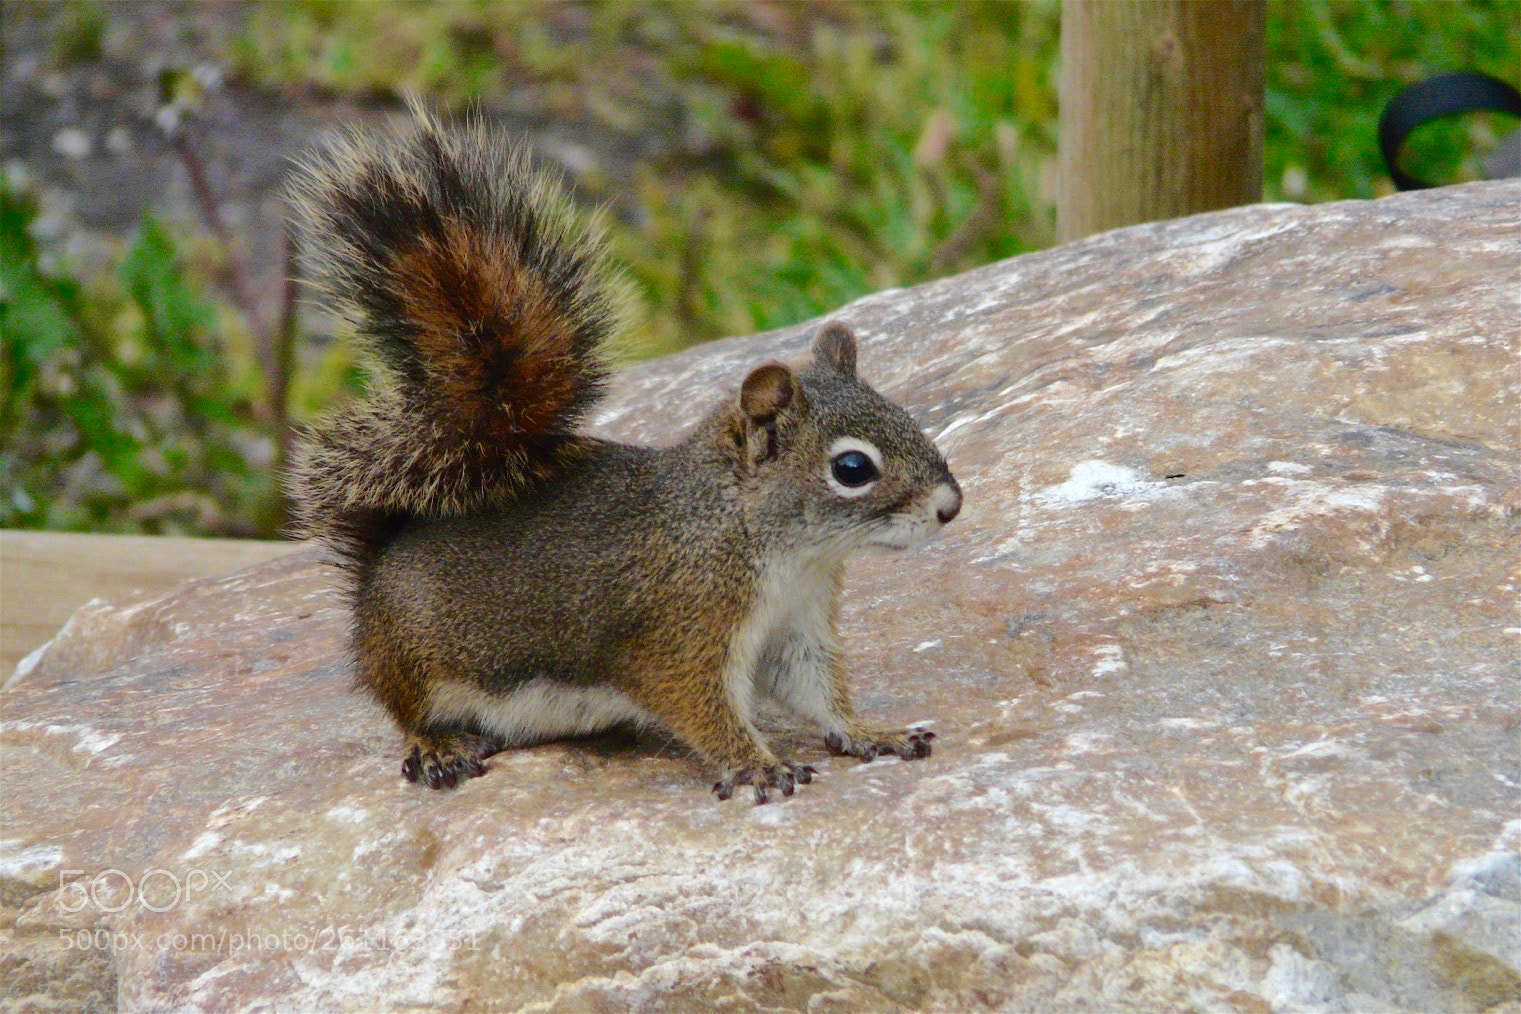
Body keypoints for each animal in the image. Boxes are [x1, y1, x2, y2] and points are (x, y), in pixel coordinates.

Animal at [285, 101, 961, 802]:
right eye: (852, 469)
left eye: (906, 415)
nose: (951, 506)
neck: (765, 542)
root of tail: (377, 569)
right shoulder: (679, 634)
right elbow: (701, 706)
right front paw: (757, 765)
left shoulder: (795, 628)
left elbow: (818, 694)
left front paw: (872, 733)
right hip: (415, 660)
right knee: (405, 712)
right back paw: (438, 746)